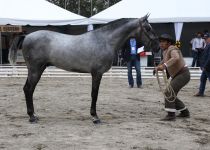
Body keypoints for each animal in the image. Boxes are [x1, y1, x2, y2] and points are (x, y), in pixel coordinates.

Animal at [9, 15, 158, 123]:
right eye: (148, 28)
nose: (157, 46)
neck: (105, 40)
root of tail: (27, 36)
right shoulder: (97, 74)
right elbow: (94, 94)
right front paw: (95, 117)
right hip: (35, 70)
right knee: (28, 89)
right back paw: (32, 117)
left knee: (28, 89)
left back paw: (33, 115)